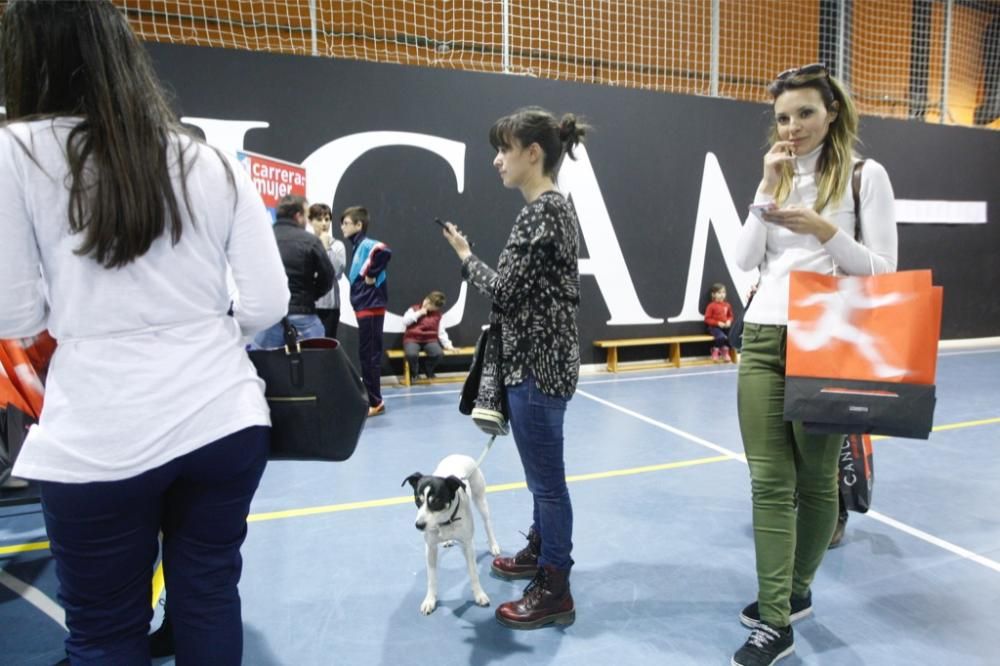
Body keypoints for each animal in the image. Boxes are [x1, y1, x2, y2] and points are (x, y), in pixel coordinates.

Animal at [402, 452, 504, 612]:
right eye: (417, 500)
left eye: (436, 501)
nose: (419, 525)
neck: (445, 521)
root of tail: (459, 455)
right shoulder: (430, 548)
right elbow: (431, 578)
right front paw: (430, 600)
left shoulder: (468, 544)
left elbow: (473, 573)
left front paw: (479, 595)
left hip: (480, 498)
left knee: (487, 523)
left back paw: (493, 545)